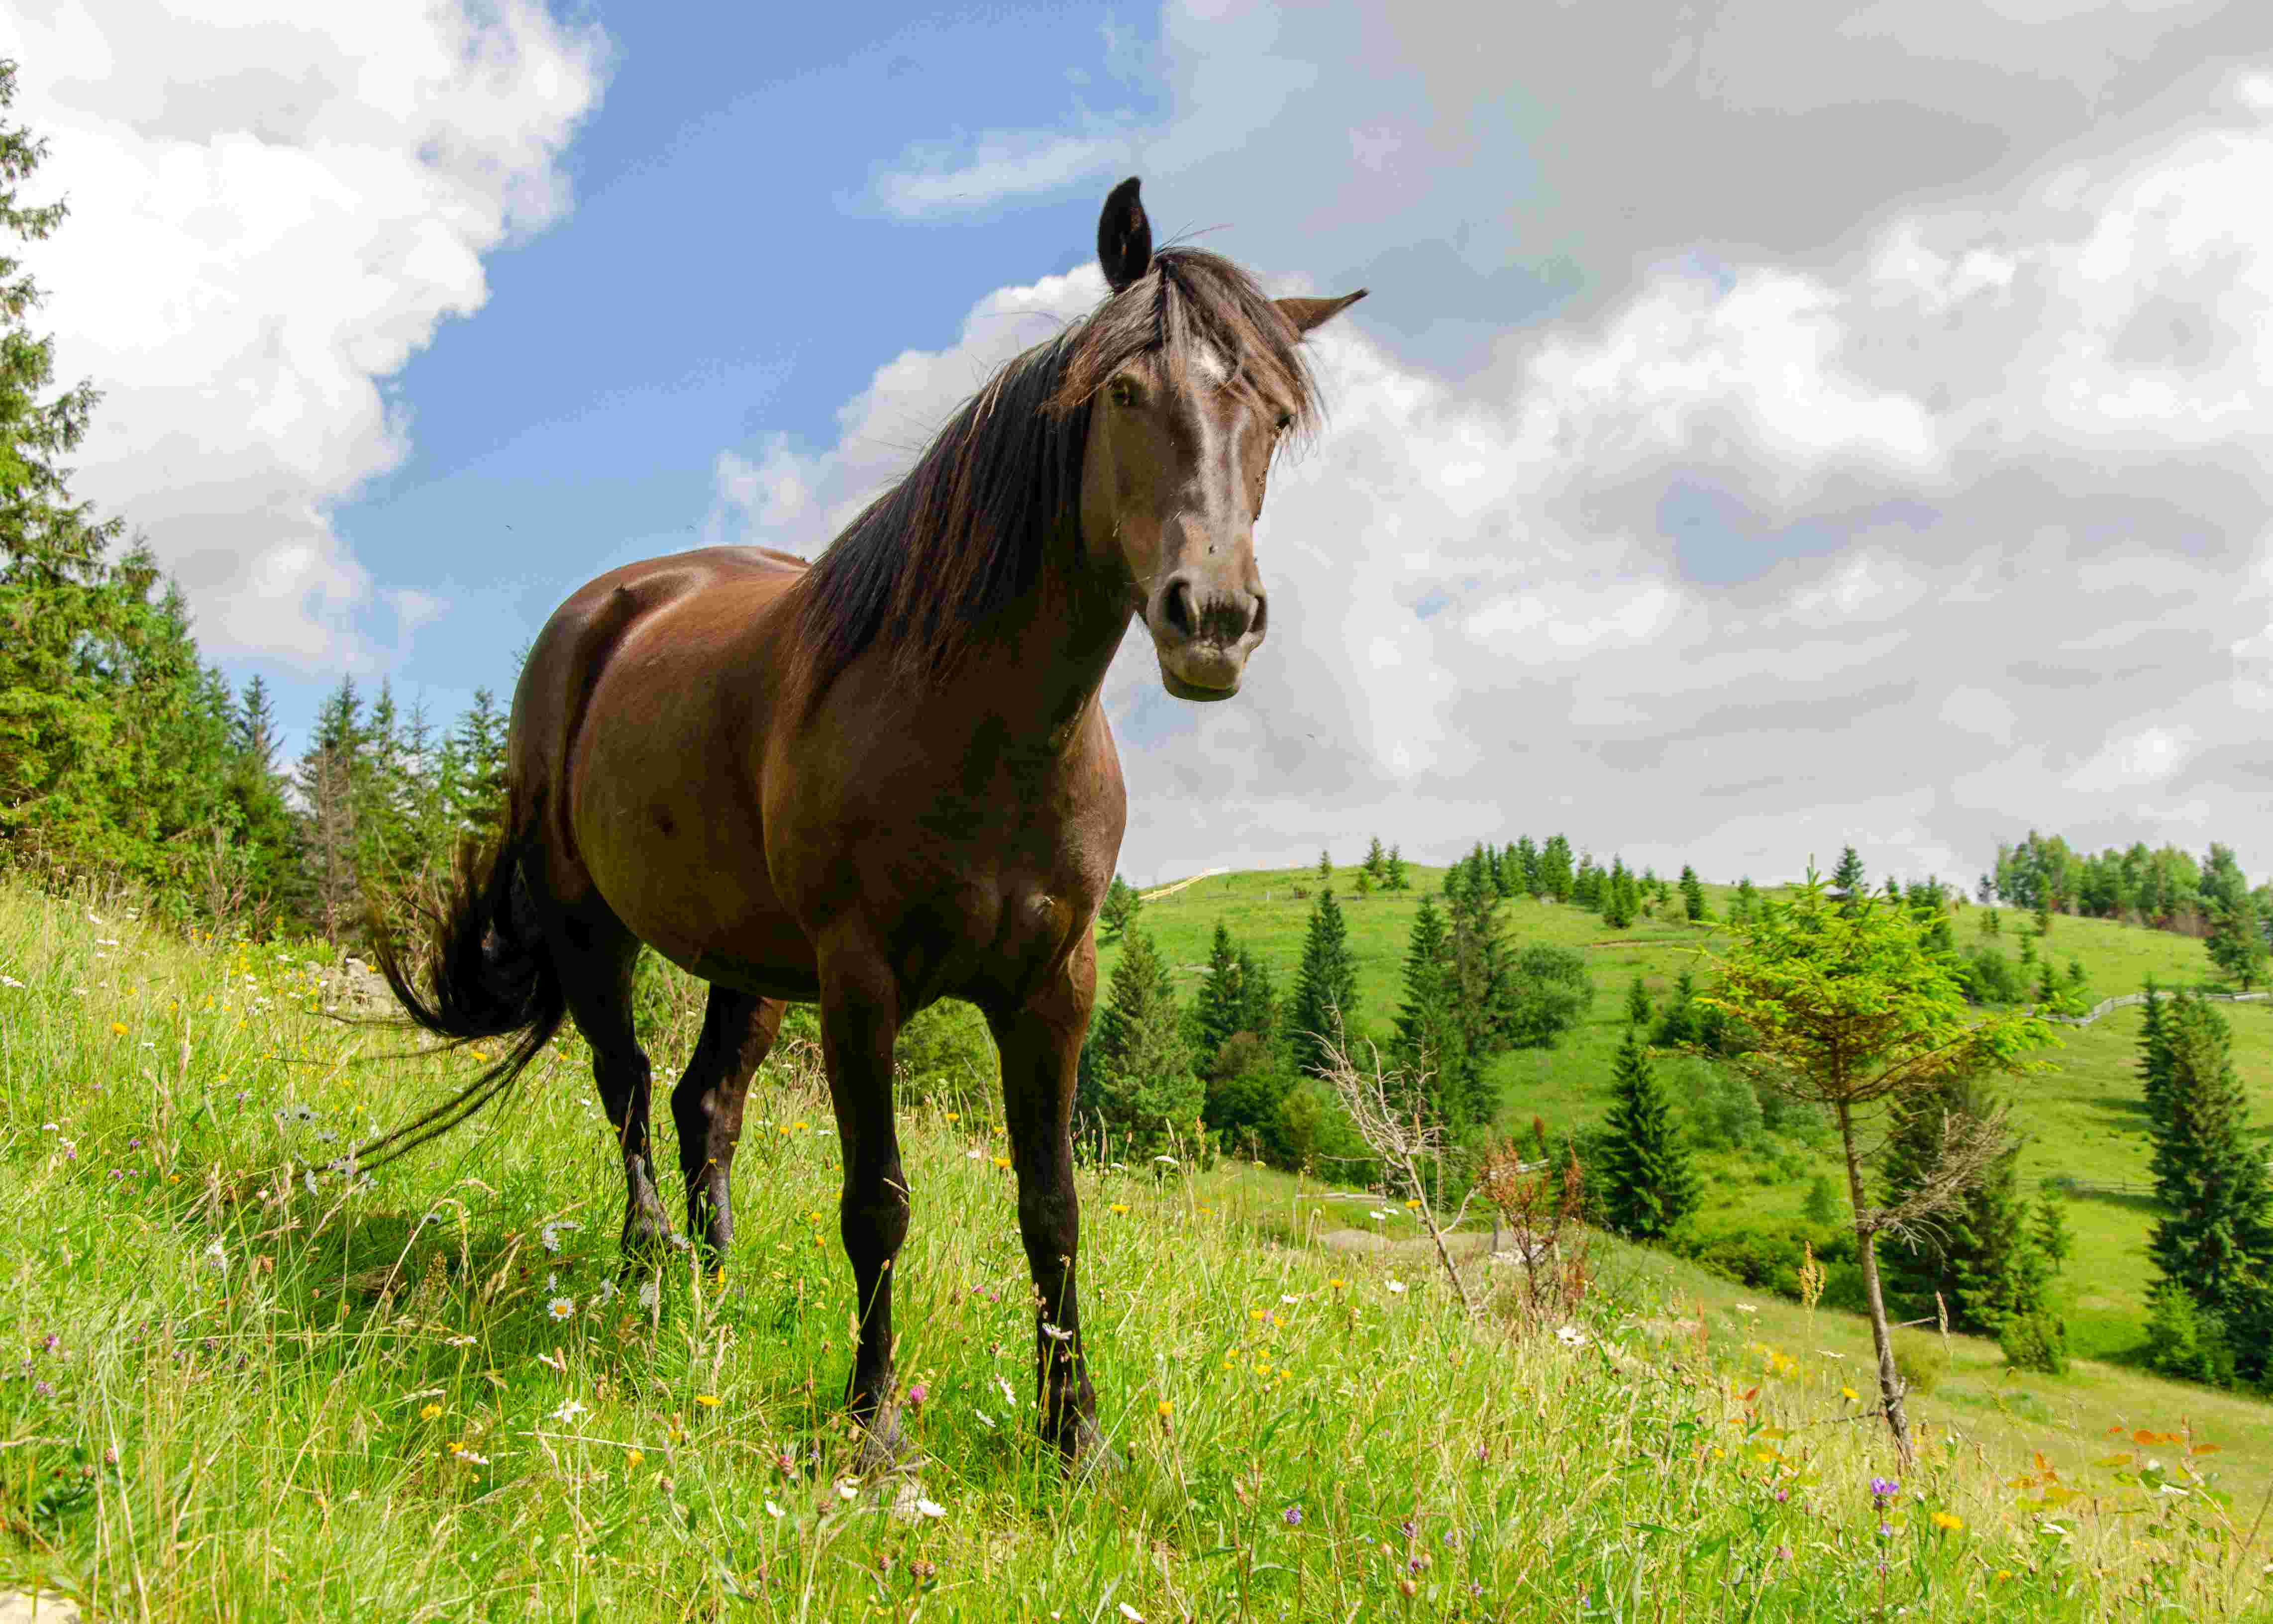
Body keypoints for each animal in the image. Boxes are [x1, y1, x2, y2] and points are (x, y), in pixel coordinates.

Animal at [366, 177, 1364, 1472]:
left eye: (1276, 418)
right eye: (1125, 391)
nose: (1214, 620)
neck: (974, 723)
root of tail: (601, 613)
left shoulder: (1054, 989)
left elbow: (1052, 1208)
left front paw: (1075, 1437)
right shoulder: (860, 982)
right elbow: (876, 1202)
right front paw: (874, 1428)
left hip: (746, 963)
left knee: (704, 1105)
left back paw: (714, 1281)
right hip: (597, 927)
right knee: (627, 1085)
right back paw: (648, 1264)